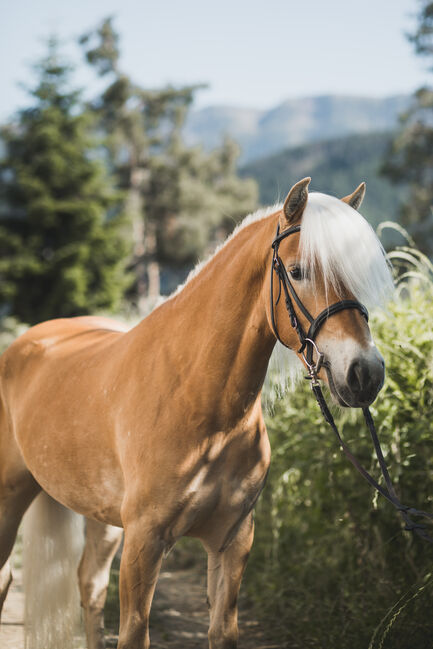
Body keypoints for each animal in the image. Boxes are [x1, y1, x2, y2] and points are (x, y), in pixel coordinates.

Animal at [0, 178, 392, 648]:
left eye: (355, 272)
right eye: (298, 271)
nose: (365, 373)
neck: (201, 404)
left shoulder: (231, 541)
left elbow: (222, 631)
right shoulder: (144, 543)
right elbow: (135, 633)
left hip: (102, 519)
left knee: (89, 587)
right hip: (9, 497)